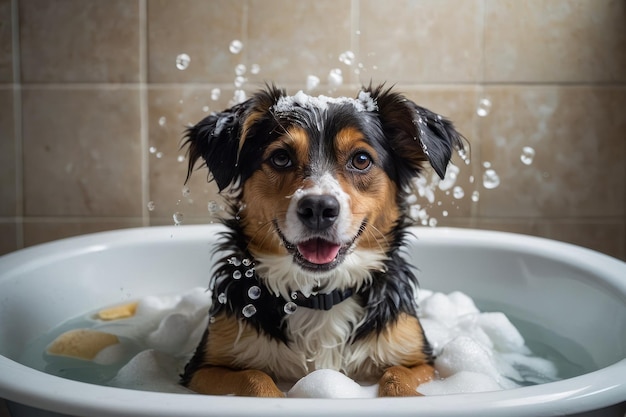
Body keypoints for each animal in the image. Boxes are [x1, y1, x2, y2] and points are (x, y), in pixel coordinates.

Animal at [178, 82, 460, 396]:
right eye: (281, 158)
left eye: (361, 159)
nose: (318, 208)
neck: (320, 295)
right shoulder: (204, 367)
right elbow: (254, 377)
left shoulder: (420, 360)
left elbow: (397, 376)